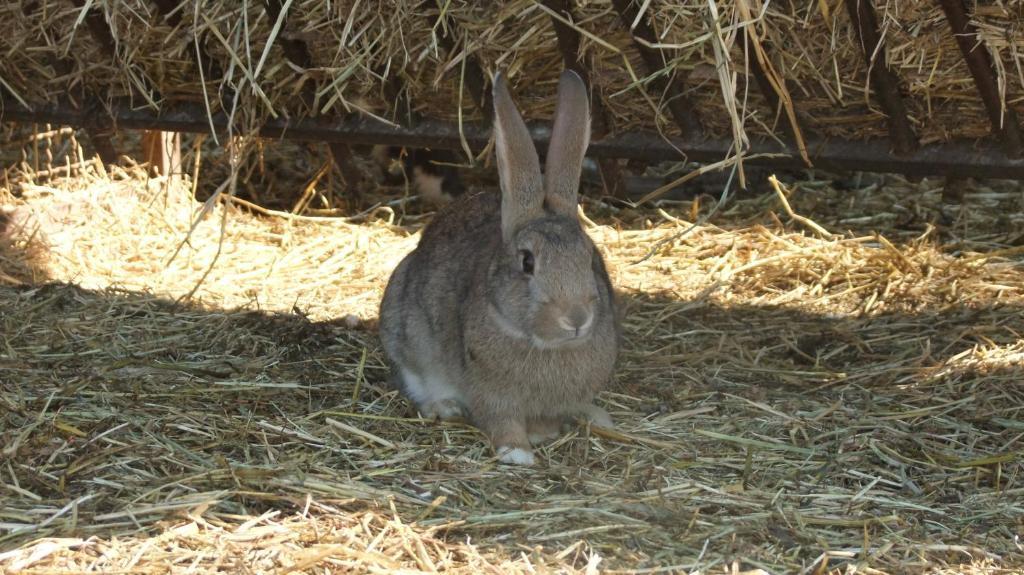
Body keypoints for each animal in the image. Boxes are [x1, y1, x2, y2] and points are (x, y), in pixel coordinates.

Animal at [376, 70, 614, 466]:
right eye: (527, 262)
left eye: (590, 257)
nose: (577, 318)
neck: (546, 346)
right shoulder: (491, 394)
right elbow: (502, 422)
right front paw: (517, 453)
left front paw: (556, 428)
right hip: (402, 329)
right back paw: (445, 406)